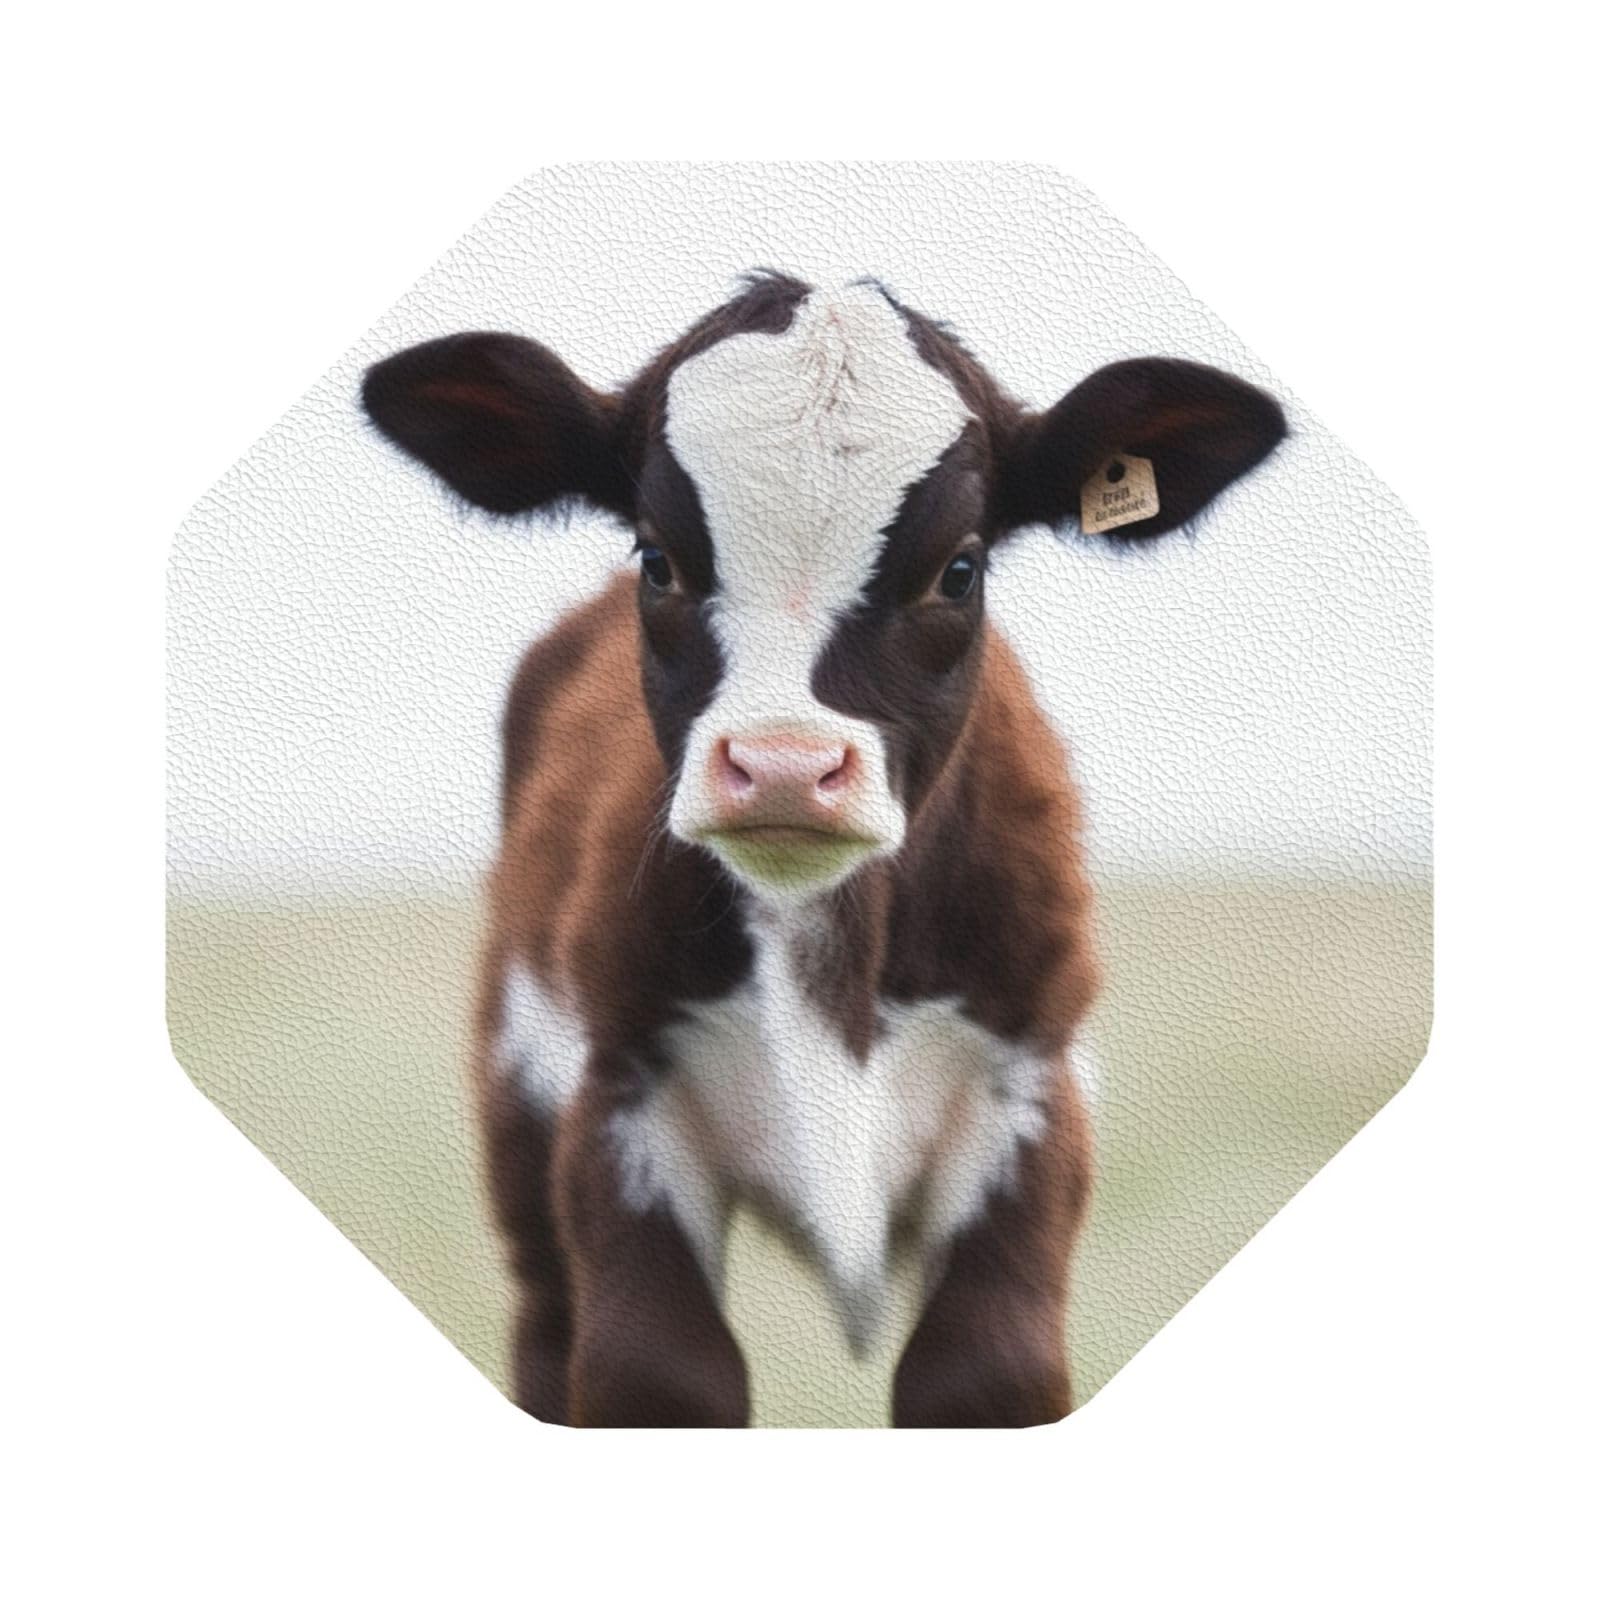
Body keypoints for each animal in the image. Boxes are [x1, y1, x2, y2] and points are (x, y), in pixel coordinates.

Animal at [361, 273, 1286, 1427]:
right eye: (657, 559)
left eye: (959, 569)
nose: (785, 765)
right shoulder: (617, 1100)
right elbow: (661, 1368)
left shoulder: (1031, 1093)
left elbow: (982, 1367)